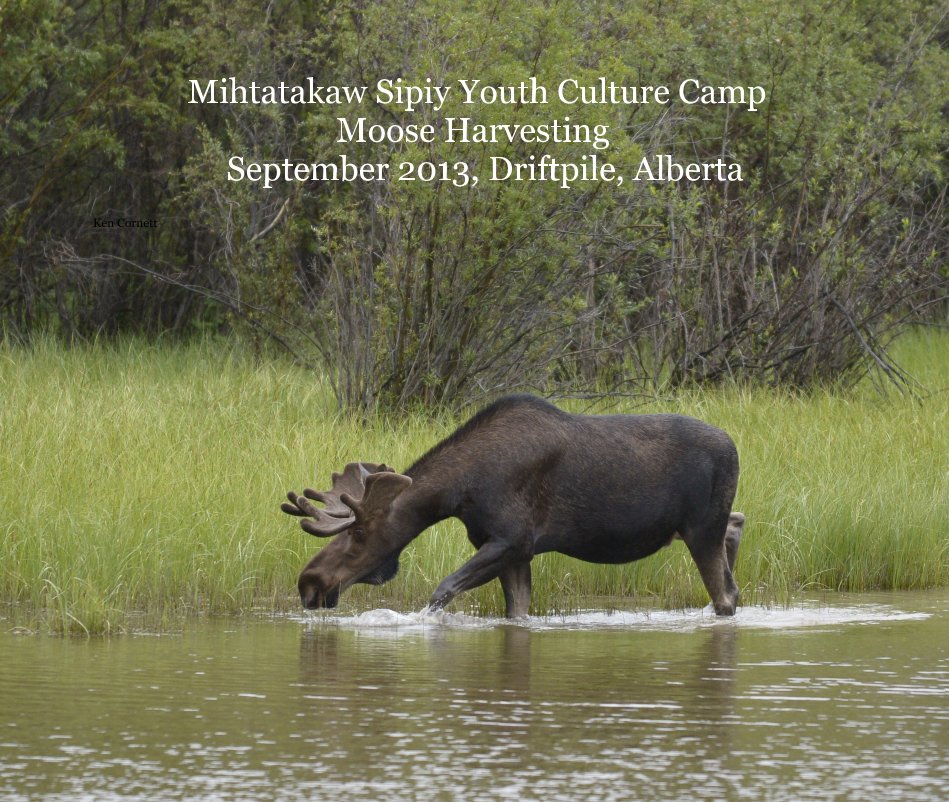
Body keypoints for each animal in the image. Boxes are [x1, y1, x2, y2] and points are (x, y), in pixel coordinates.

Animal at [278, 392, 744, 612]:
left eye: (359, 530)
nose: (309, 582)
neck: (459, 493)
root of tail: (735, 448)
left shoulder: (512, 540)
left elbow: (441, 592)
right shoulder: (515, 552)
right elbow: (516, 612)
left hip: (700, 527)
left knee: (727, 593)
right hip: (700, 525)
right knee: (737, 526)